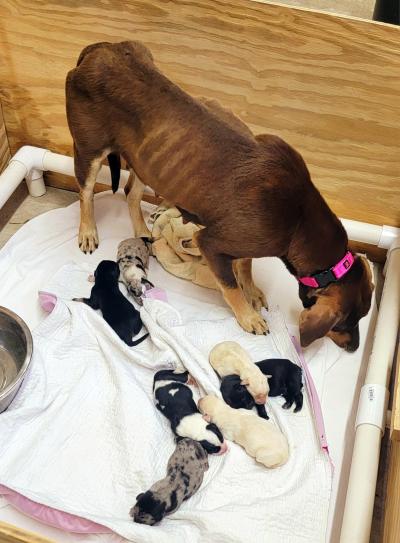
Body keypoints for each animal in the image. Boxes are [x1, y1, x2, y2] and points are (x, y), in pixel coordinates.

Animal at [66, 40, 376, 350]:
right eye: (344, 323)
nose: (354, 348)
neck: (299, 218)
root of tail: (97, 48)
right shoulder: (211, 243)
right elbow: (230, 285)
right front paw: (248, 316)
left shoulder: (244, 241)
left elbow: (246, 265)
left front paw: (252, 290)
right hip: (89, 152)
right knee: (86, 193)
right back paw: (88, 232)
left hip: (146, 161)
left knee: (131, 193)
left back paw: (143, 231)